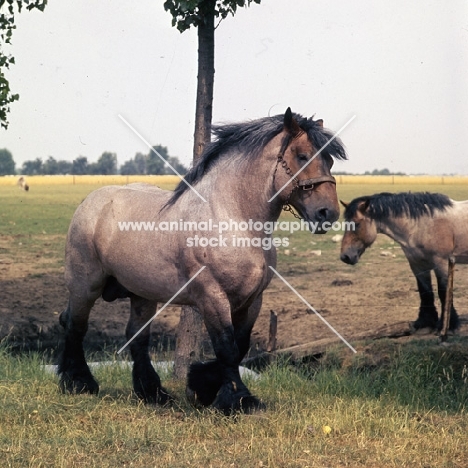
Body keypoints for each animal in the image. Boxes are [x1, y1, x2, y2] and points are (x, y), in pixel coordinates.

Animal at [58, 107, 348, 414]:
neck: (233, 219)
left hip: (142, 294)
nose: (327, 213)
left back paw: (152, 392)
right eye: (302, 155)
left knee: (137, 337)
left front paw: (204, 385)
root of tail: (90, 202)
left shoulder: (252, 300)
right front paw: (237, 398)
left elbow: (240, 346)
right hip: (85, 285)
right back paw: (78, 383)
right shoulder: (212, 297)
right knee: (75, 325)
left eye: (329, 159)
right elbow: (227, 348)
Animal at [340, 193, 468, 332]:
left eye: (357, 224)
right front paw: (425, 321)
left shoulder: (441, 262)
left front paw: (448, 325)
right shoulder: (417, 264)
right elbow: (425, 291)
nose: (345, 256)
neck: (422, 225)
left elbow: (444, 291)